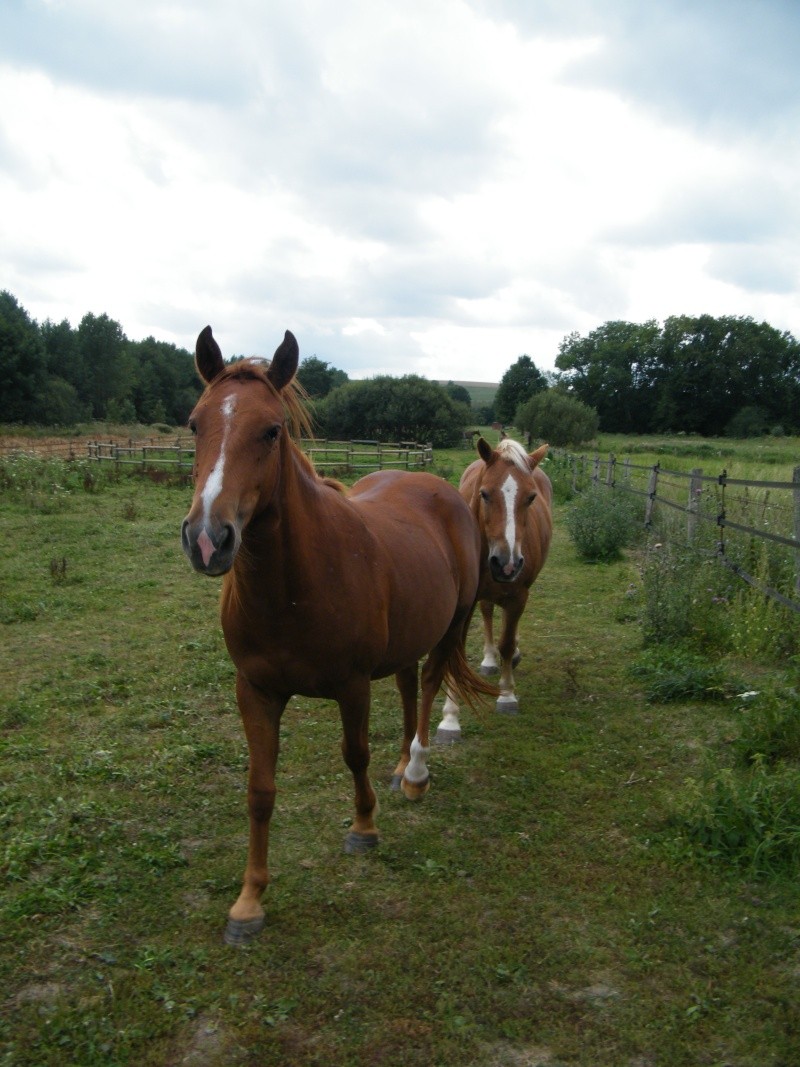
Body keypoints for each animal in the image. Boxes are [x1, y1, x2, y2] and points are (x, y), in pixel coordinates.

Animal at [182, 324, 494, 943]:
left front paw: (364, 828)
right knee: (407, 688)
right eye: (195, 424)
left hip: (453, 624)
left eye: (271, 430)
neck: (294, 587)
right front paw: (249, 901)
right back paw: (401, 768)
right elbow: (259, 790)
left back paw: (416, 773)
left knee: (428, 686)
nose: (207, 539)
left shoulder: (351, 686)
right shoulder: (255, 691)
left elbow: (354, 754)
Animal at [439, 428, 550, 738]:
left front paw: (507, 695)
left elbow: (507, 643)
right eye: (485, 494)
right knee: (488, 611)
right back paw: (489, 660)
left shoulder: (518, 596)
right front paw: (449, 718)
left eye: (531, 497)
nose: (506, 563)